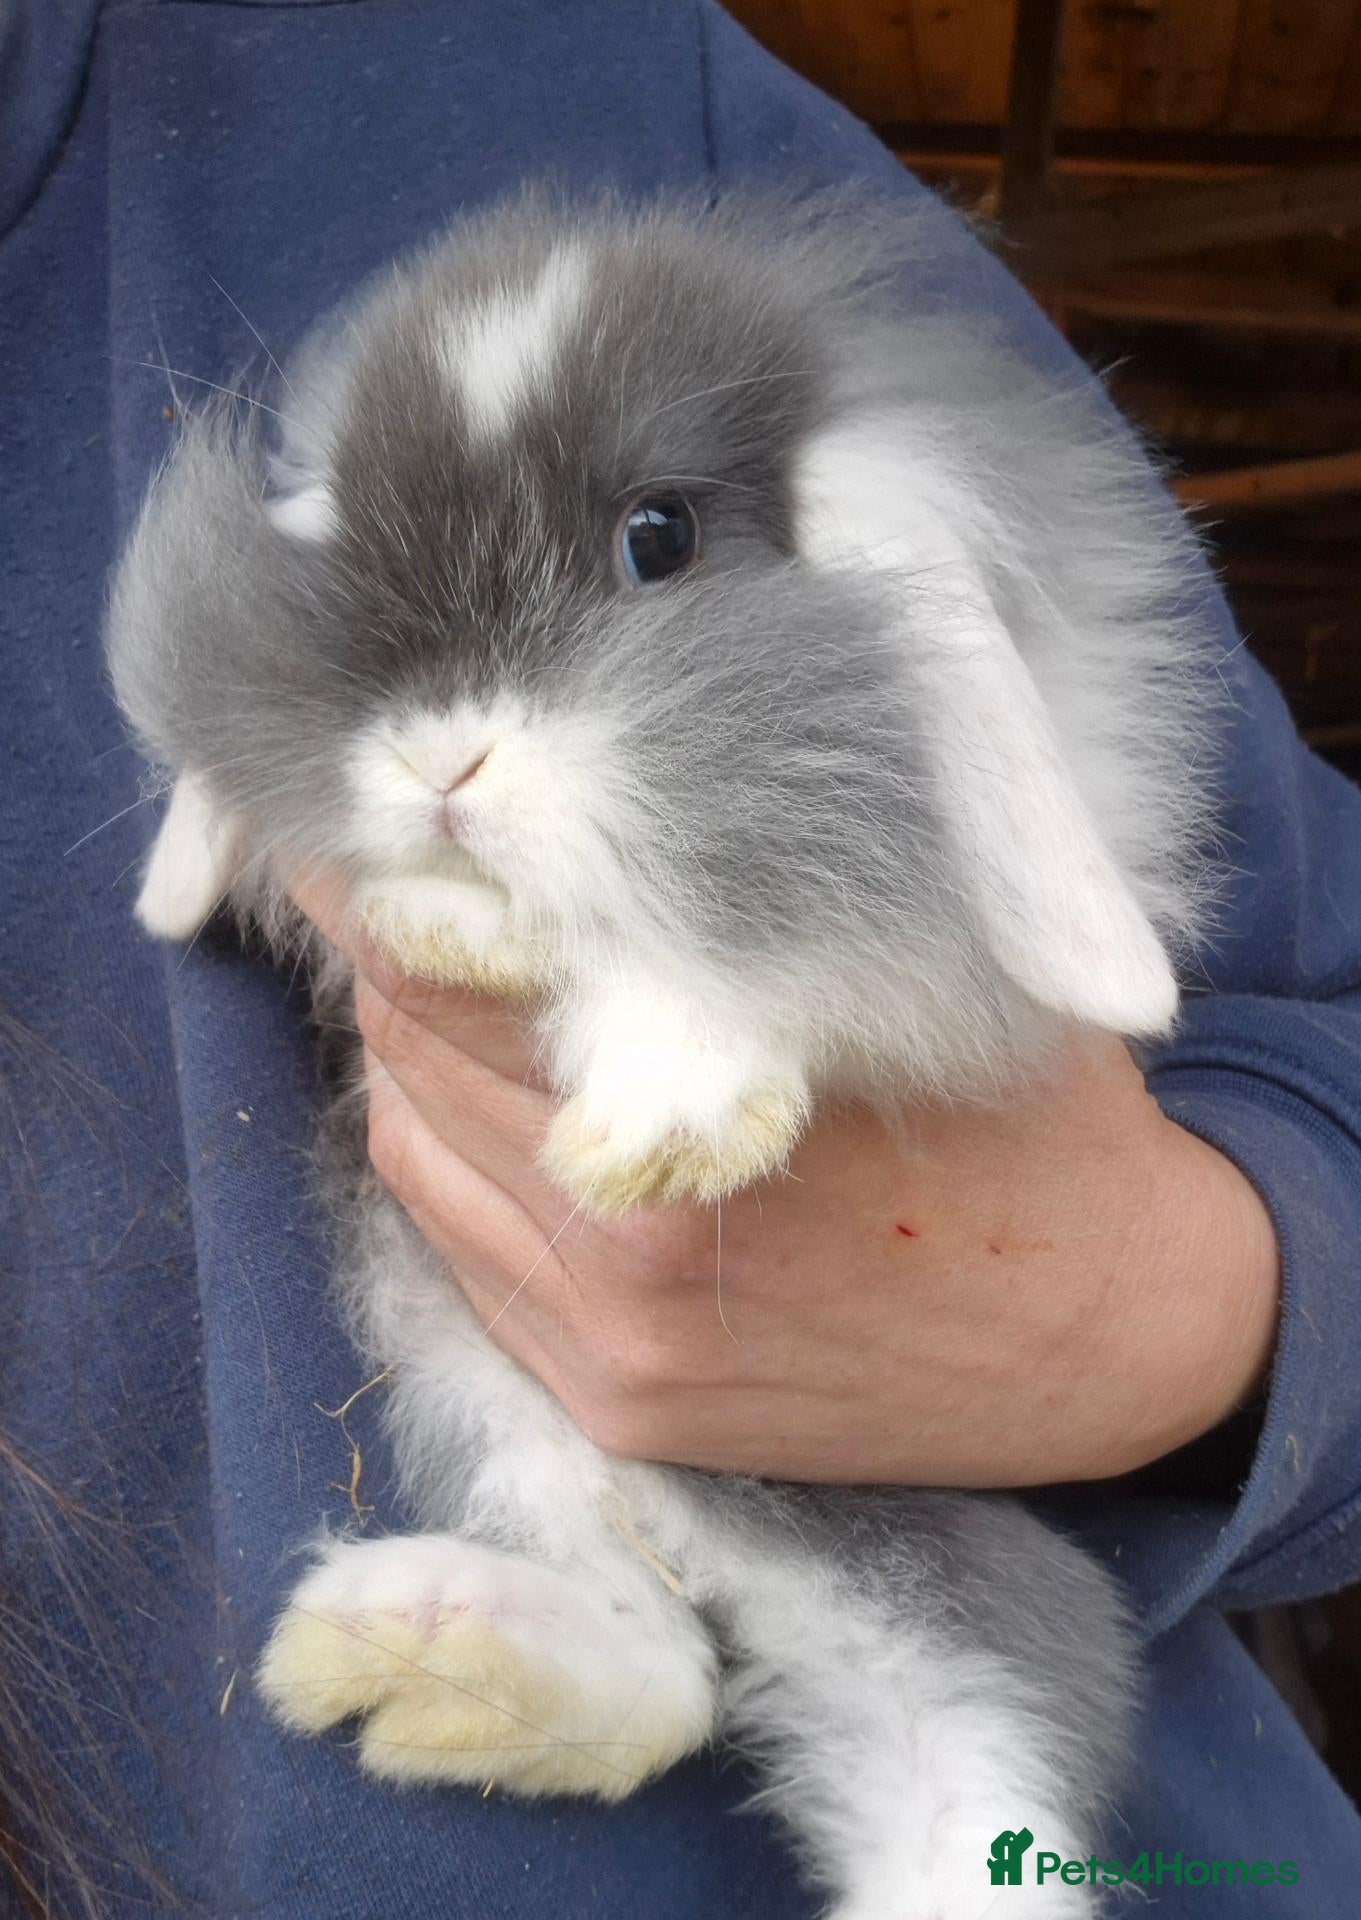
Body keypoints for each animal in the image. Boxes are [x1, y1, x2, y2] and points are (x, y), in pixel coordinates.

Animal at [108, 186, 1220, 1918]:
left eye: (661, 539)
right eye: (355, 537)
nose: (443, 758)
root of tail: (715, 1538)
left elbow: (789, 944)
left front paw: (666, 1116)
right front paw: (448, 925)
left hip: (938, 1641)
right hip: (467, 1367)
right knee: (664, 1675)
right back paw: (417, 1654)